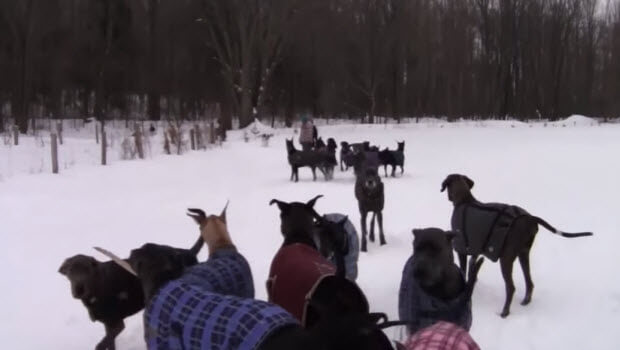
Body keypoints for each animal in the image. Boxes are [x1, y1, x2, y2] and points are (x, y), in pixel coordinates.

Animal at [438, 174, 592, 318]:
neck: (464, 199)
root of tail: (530, 218)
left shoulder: (461, 249)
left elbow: (464, 270)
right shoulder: (475, 251)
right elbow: (472, 270)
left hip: (506, 258)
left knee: (511, 288)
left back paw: (504, 313)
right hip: (523, 254)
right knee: (529, 282)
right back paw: (526, 301)